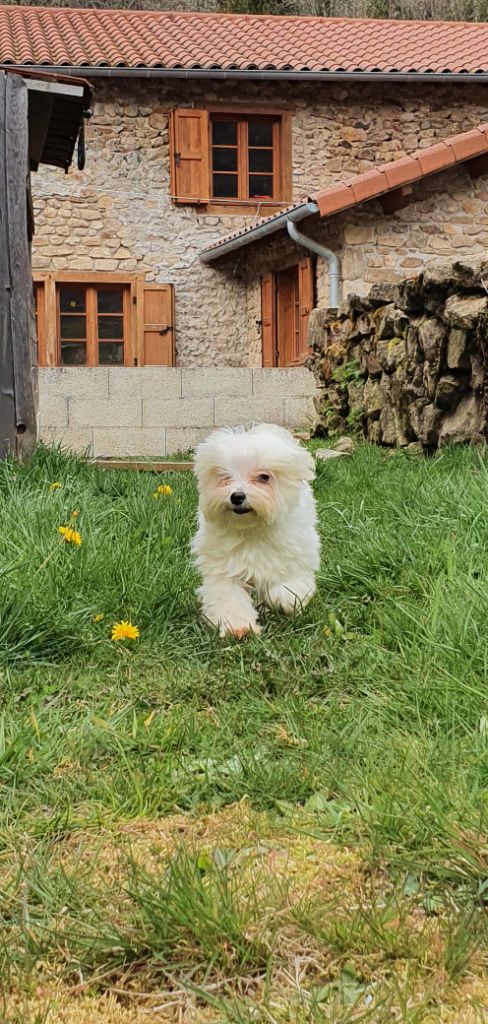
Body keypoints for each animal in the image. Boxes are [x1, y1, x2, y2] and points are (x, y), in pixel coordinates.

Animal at [190, 421, 319, 630]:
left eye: (264, 477)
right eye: (224, 477)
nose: (237, 496)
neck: (251, 529)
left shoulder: (295, 555)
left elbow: (289, 584)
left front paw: (282, 598)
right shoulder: (223, 567)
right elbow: (229, 595)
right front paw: (237, 625)